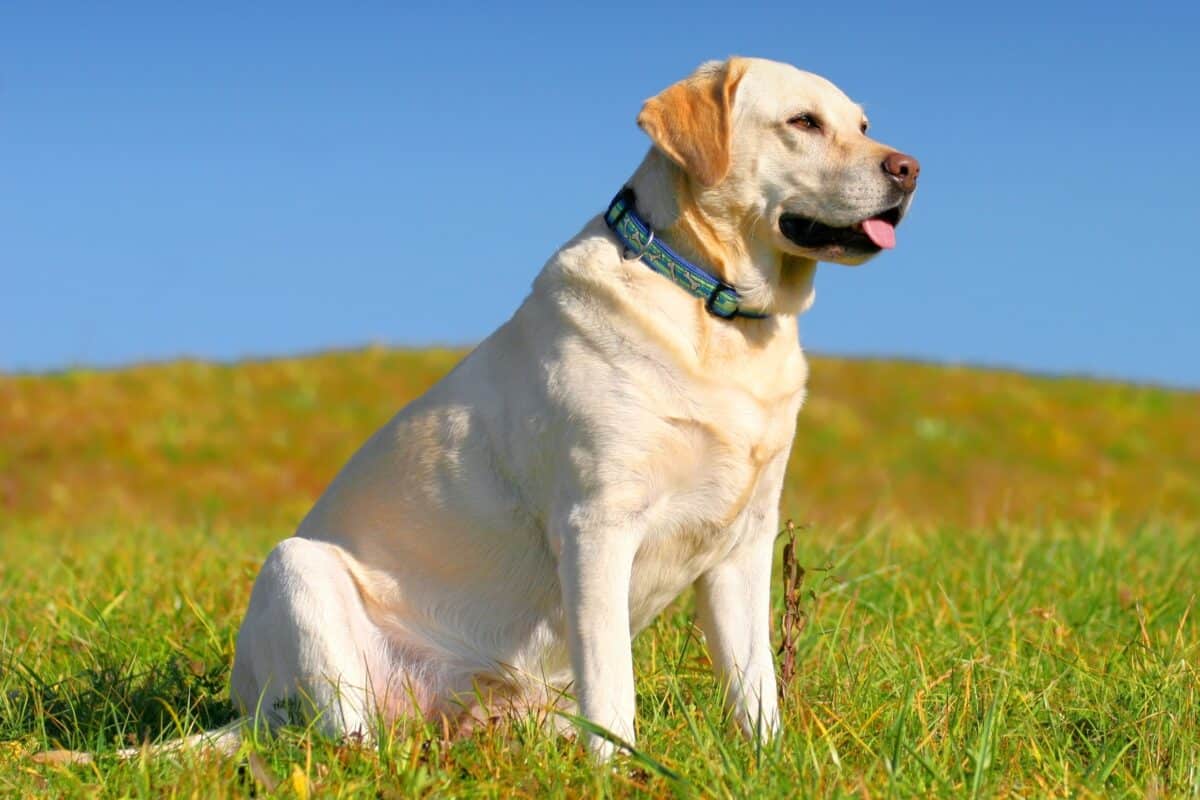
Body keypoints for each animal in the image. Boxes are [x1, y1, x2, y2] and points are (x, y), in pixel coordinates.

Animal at [37, 53, 916, 767]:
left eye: (863, 124)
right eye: (803, 123)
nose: (909, 168)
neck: (714, 308)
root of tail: (251, 716)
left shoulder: (743, 542)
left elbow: (753, 684)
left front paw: (769, 763)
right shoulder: (596, 526)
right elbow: (615, 685)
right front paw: (620, 772)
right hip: (298, 575)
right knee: (346, 740)